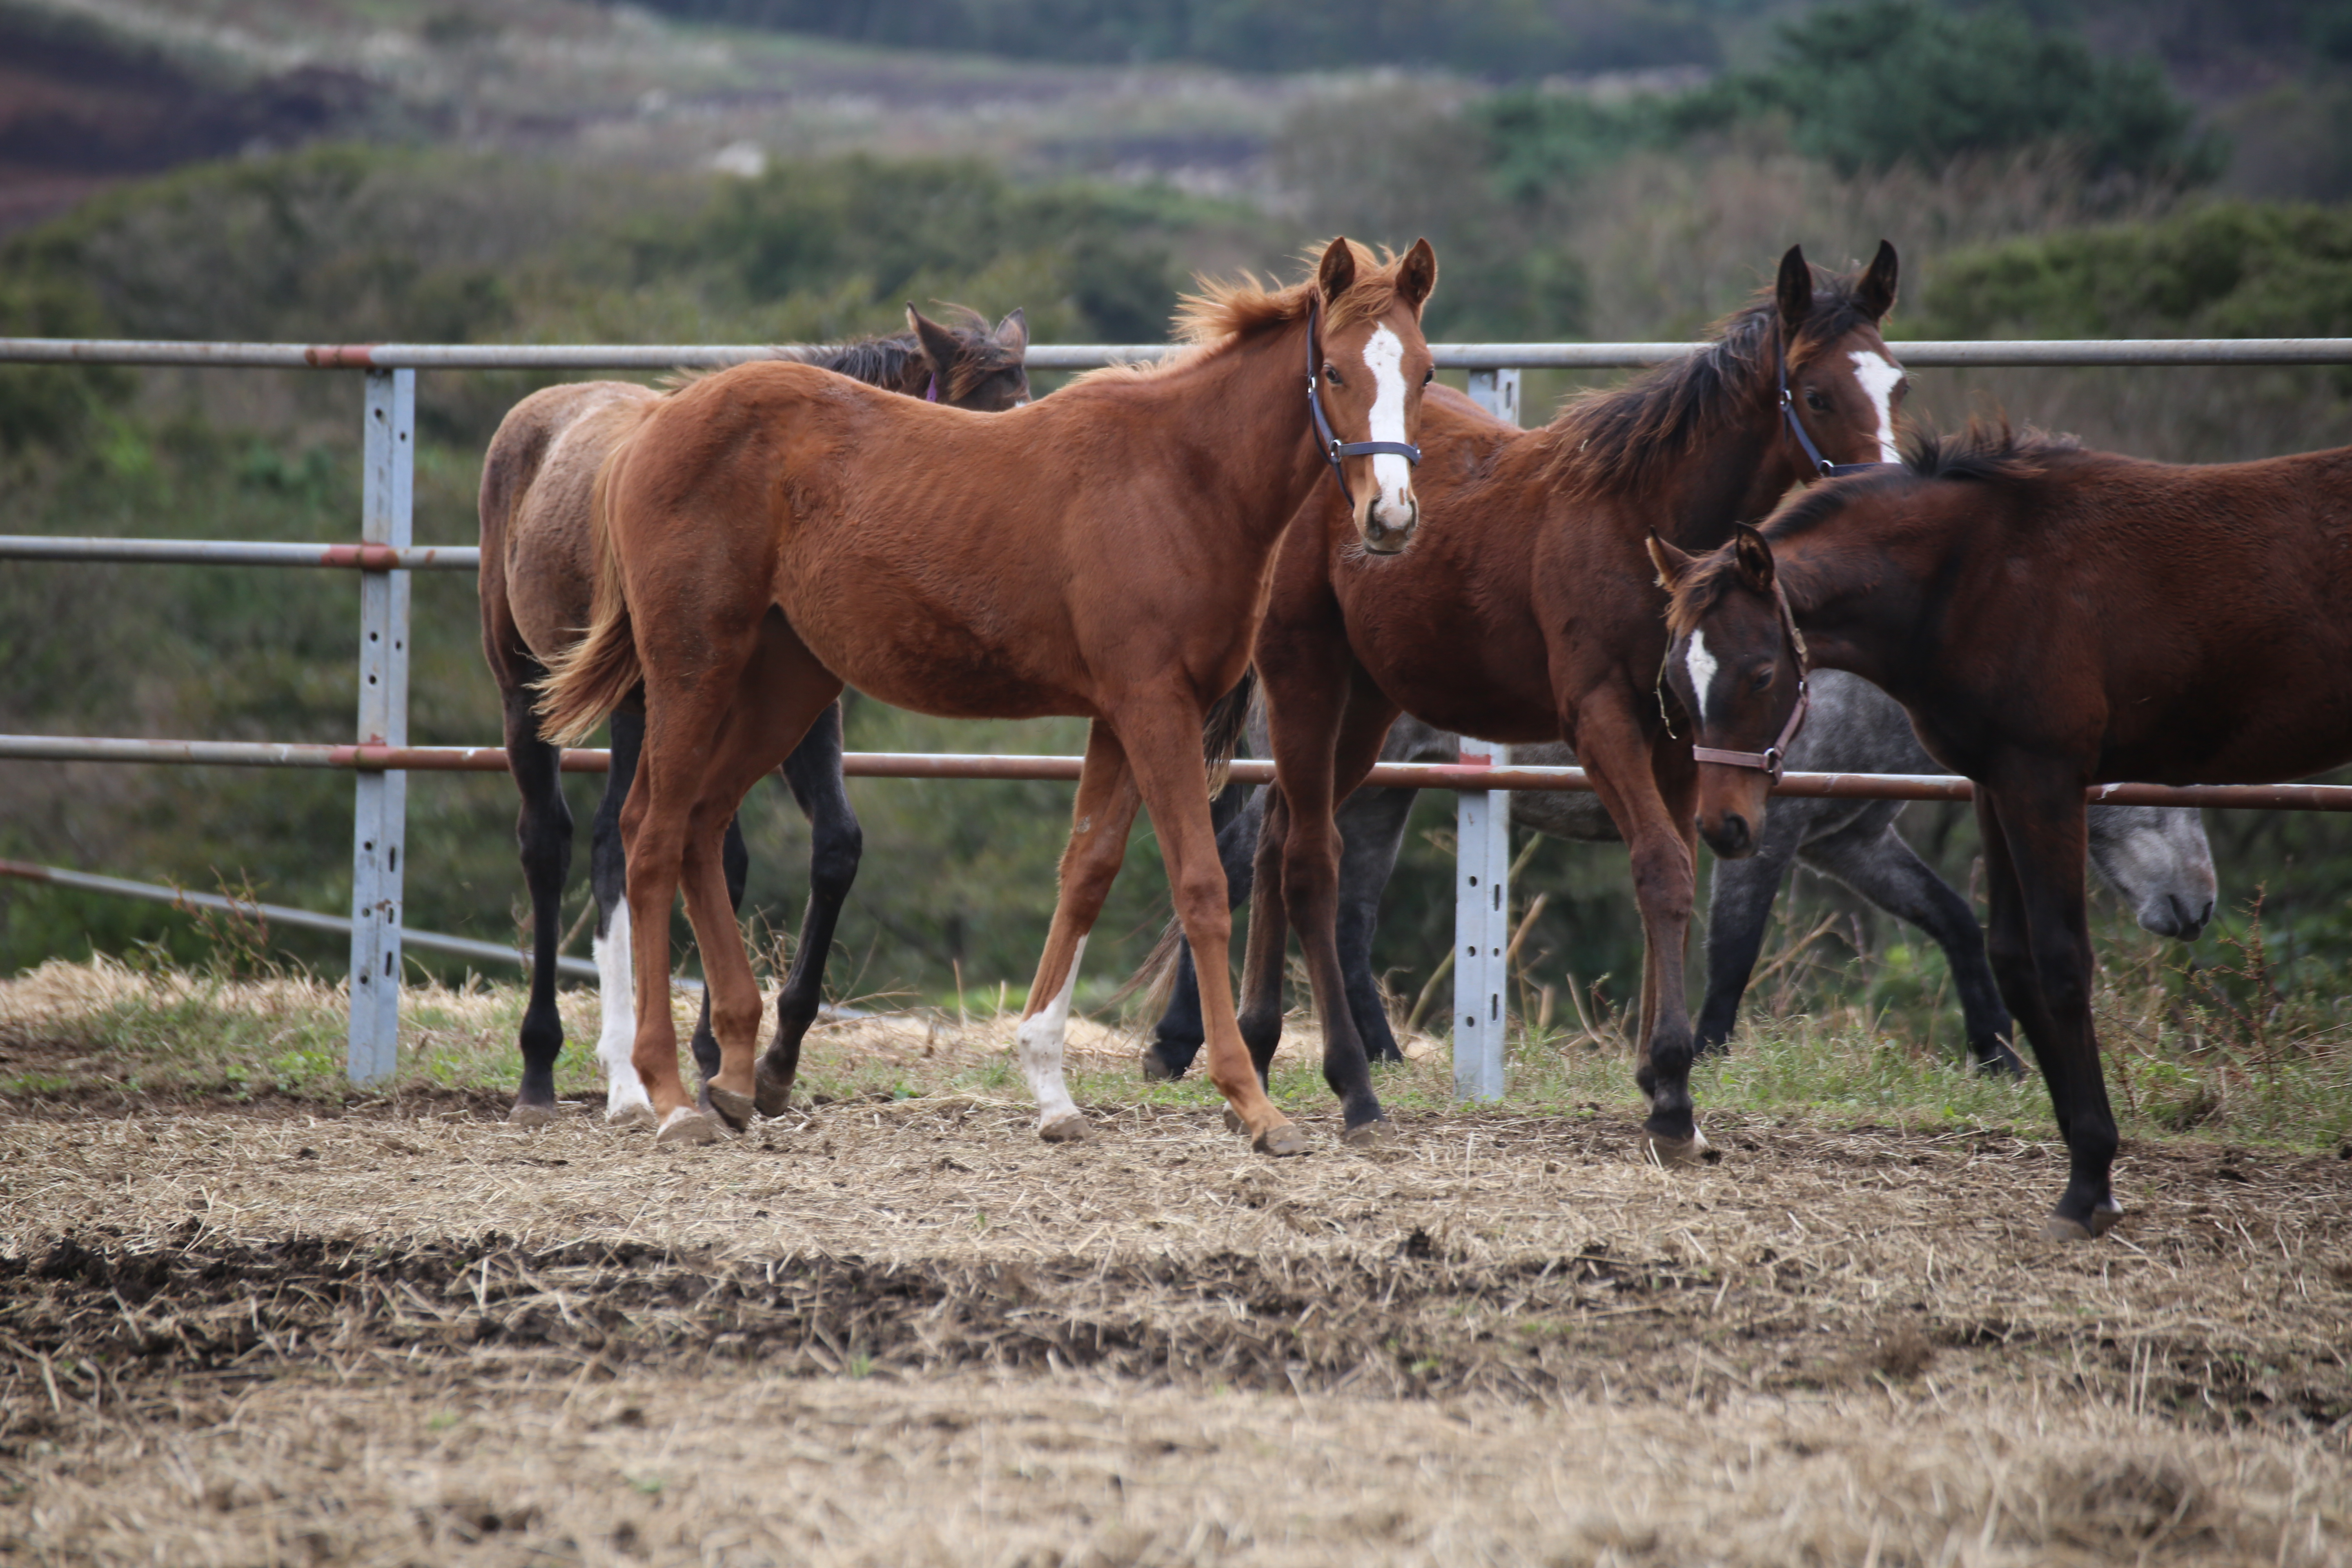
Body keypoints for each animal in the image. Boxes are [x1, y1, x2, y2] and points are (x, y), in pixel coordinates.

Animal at [477, 305, 1030, 1128]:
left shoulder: (798, 712)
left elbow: (824, 846)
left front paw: (752, 1059)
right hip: (532, 692)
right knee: (556, 845)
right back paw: (555, 1074)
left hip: (643, 714)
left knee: (627, 843)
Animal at [541, 242, 1439, 1152]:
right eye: (1333, 371)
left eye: (1426, 373)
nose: (1391, 518)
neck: (1183, 476)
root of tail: (651, 426)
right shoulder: (1157, 705)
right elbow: (1201, 886)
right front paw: (1253, 1103)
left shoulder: (1118, 715)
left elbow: (1087, 872)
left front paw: (1051, 1087)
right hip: (694, 669)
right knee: (650, 837)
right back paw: (665, 1091)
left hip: (784, 685)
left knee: (699, 826)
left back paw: (731, 1075)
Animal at [1147, 668, 2211, 1086]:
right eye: (2150, 787)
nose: (2196, 907)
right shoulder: (1766, 837)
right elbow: (1733, 950)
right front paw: (1700, 1054)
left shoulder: (1849, 839)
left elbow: (1950, 918)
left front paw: (1995, 1053)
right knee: (1242, 869)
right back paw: (1176, 1042)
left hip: (1377, 789)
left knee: (1347, 916)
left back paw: (1384, 1055)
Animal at [1242, 242, 1900, 1152]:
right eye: (1817, 390)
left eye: (1897, 381)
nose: (1887, 496)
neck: (1637, 519)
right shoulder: (1598, 720)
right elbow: (1661, 869)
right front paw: (1673, 1091)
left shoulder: (1679, 738)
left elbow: (1675, 870)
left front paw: (1662, 1084)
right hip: (1304, 673)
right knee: (1307, 858)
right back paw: (1352, 1086)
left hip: (1368, 707)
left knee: (1275, 834)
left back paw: (1258, 1047)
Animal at [1656, 423, 2352, 1241]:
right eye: (1676, 680)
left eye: (1763, 674)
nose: (1723, 826)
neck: (1977, 577)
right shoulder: (1995, 784)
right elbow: (2012, 959)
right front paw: (2093, 1169)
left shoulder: (2041, 779)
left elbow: (2060, 963)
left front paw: (2087, 1183)